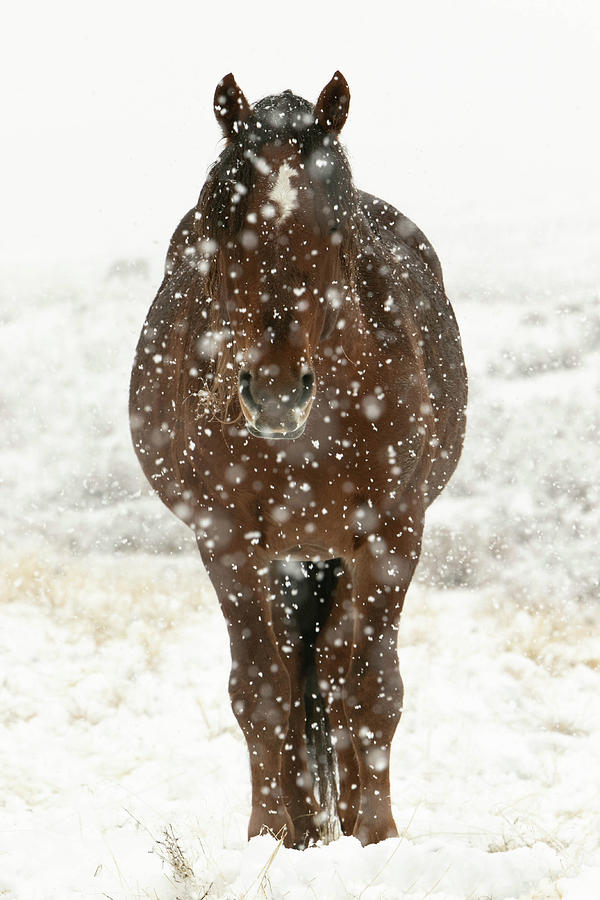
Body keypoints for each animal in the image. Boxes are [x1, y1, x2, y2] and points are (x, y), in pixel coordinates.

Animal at [130, 72, 468, 852]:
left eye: (333, 230)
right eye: (226, 232)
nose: (277, 392)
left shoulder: (393, 533)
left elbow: (372, 690)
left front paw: (377, 838)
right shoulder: (226, 539)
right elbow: (261, 689)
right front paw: (271, 836)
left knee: (336, 668)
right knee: (294, 671)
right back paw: (306, 826)